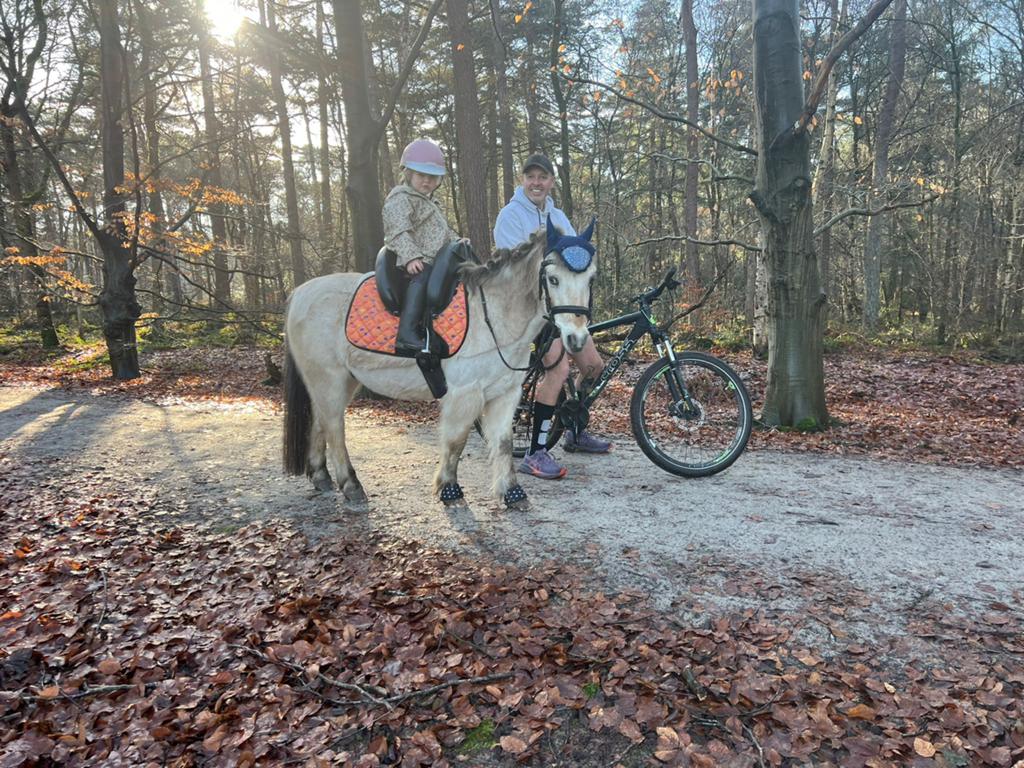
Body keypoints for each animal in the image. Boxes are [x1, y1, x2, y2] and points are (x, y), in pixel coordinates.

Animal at [282, 218, 597, 508]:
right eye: (553, 279)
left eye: (590, 279)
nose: (577, 339)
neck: (494, 316)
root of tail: (299, 293)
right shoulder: (465, 393)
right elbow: (456, 441)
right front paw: (449, 488)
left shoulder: (505, 394)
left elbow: (504, 442)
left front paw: (512, 492)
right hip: (328, 377)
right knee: (335, 426)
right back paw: (351, 485)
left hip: (343, 380)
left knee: (321, 420)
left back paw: (321, 475)